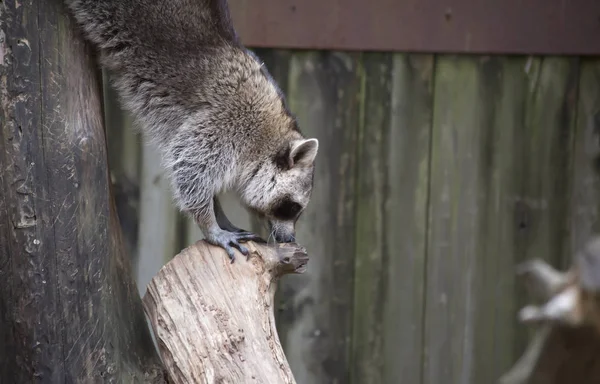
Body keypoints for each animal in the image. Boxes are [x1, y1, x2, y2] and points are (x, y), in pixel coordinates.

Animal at [64, 0, 318, 260]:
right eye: (292, 207)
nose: (290, 239)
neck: (268, 135)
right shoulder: (227, 121)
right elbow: (192, 171)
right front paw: (210, 224)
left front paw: (219, 215)